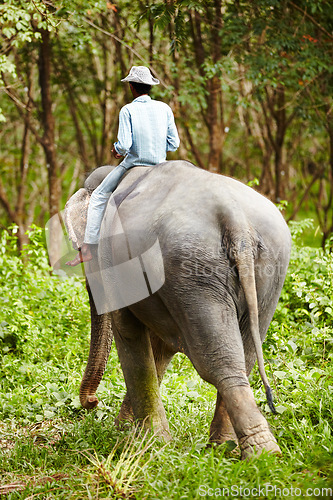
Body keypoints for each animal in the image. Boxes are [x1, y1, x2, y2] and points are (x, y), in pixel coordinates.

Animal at [63, 159, 290, 458]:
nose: (92, 402)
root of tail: (234, 216)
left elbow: (128, 330)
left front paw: (146, 441)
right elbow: (162, 346)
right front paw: (132, 432)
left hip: (193, 268)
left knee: (217, 362)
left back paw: (258, 453)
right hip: (266, 269)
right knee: (246, 356)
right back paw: (232, 449)